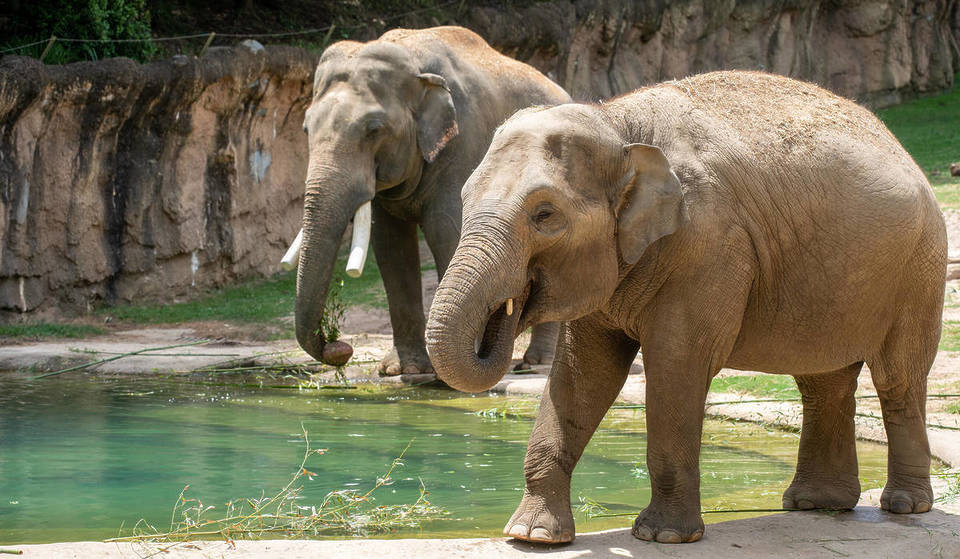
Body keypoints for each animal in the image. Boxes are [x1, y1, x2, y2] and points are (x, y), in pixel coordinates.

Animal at [294, 26, 569, 375]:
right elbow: (390, 245)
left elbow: (446, 230)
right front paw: (404, 370)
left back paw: (535, 364)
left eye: (374, 129)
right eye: (305, 128)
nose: (340, 347)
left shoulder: (463, 143)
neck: (413, 61)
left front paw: (452, 371)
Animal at [425, 71, 946, 544]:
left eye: (545, 215)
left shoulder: (710, 245)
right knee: (823, 381)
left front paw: (663, 537)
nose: (507, 313)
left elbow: (677, 364)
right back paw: (816, 504)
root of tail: (899, 145)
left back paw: (904, 506)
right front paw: (531, 536)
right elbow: (582, 373)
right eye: (465, 198)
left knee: (897, 377)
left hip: (920, 268)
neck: (617, 123)